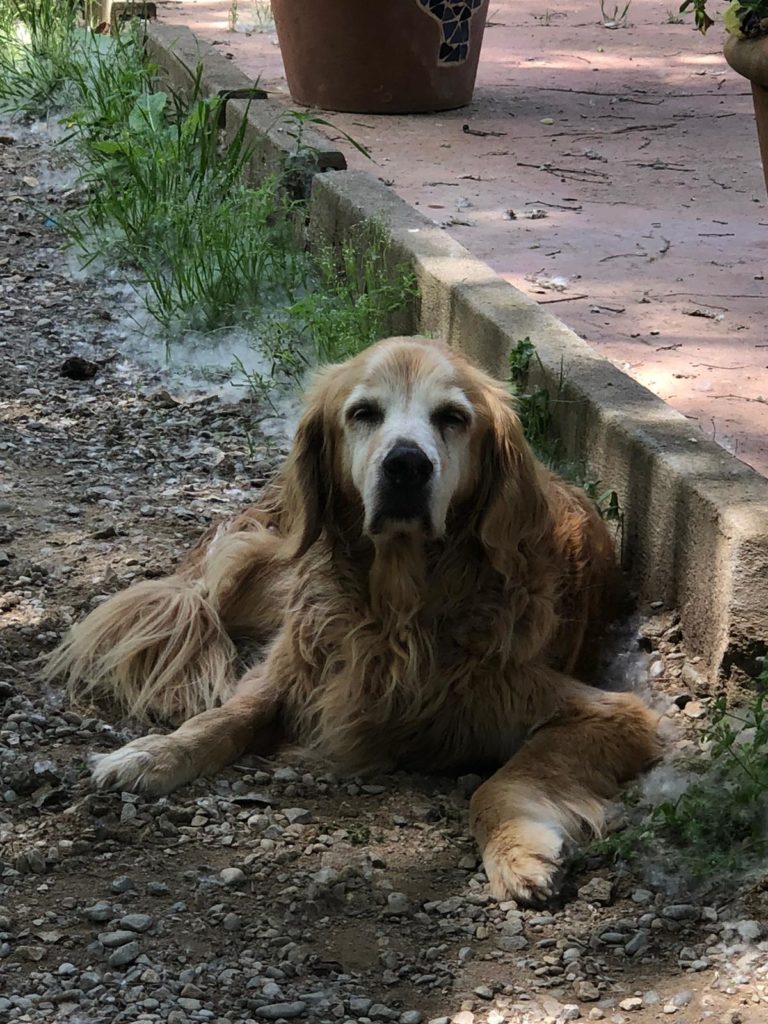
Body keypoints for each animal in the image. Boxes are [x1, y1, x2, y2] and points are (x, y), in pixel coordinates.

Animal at [46, 337, 663, 905]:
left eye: (453, 418)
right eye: (364, 412)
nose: (407, 465)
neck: (399, 610)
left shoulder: (611, 715)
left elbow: (498, 784)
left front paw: (517, 849)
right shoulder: (298, 665)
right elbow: (226, 716)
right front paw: (154, 752)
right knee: (200, 600)